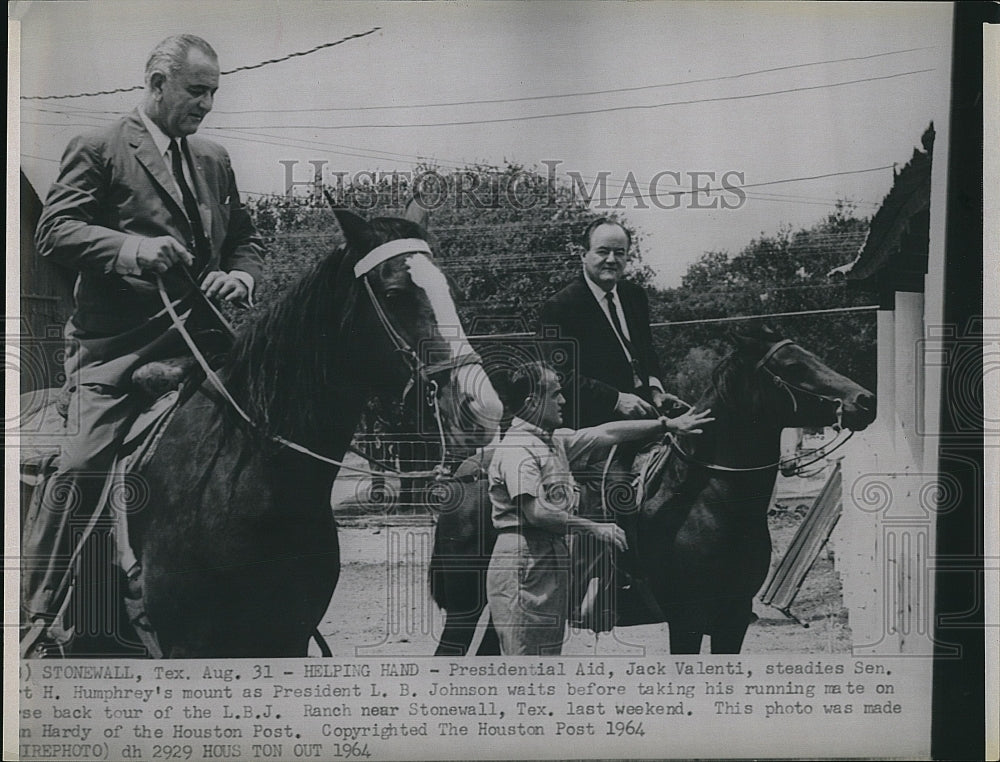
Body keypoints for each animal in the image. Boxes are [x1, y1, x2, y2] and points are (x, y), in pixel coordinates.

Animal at [430, 326, 876, 652]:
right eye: (793, 366)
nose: (865, 400)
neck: (708, 503)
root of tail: (462, 477)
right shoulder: (687, 621)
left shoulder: (732, 620)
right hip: (465, 610)